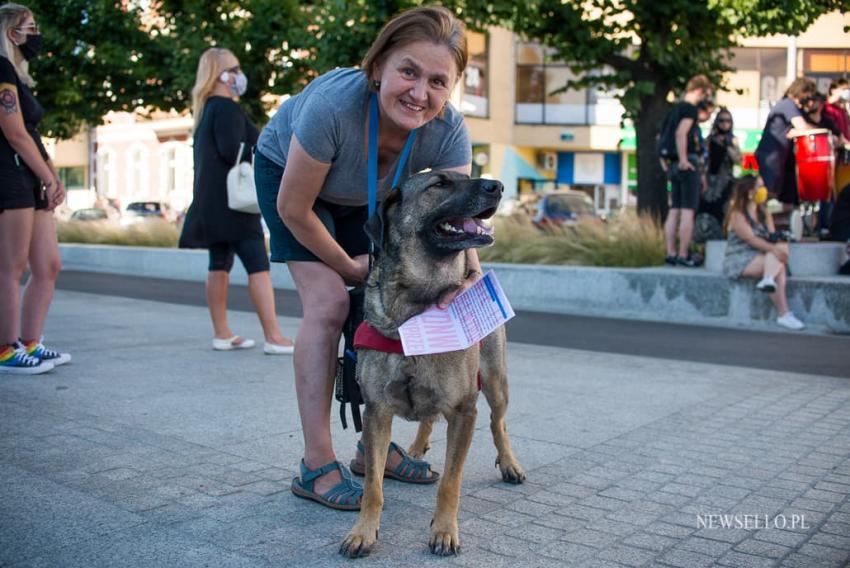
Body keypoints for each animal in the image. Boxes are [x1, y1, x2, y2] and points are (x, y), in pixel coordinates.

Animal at [338, 171, 524, 556]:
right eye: (438, 184)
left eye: (465, 177)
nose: (497, 186)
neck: (416, 305)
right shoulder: (376, 413)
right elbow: (373, 486)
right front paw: (363, 531)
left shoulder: (464, 411)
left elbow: (450, 483)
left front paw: (444, 531)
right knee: (428, 418)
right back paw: (416, 447)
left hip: (495, 382)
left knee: (498, 423)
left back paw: (509, 463)